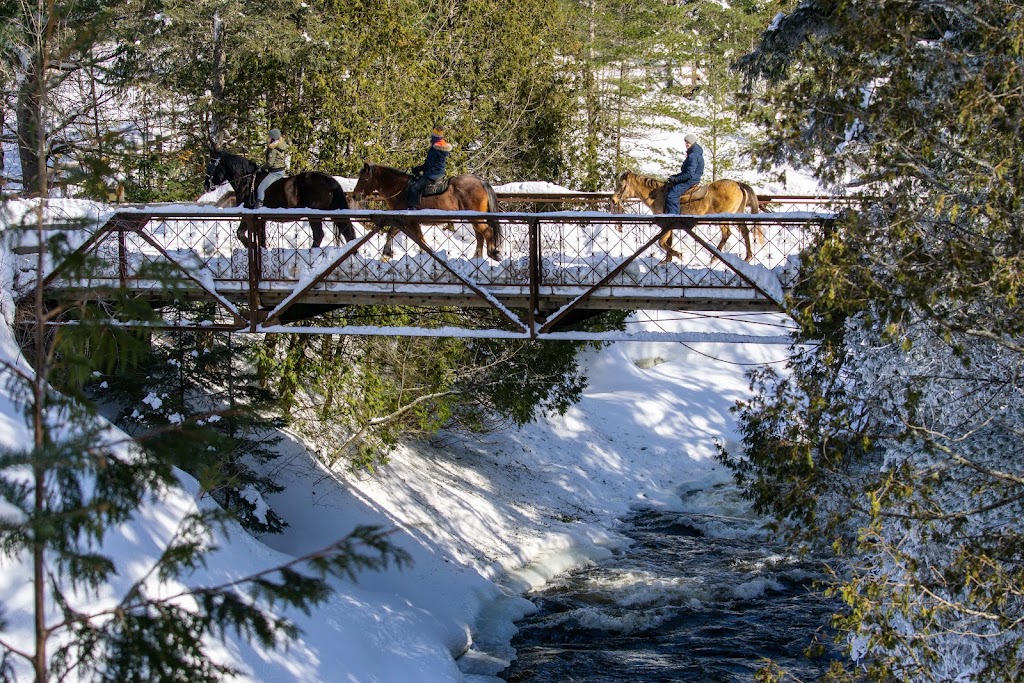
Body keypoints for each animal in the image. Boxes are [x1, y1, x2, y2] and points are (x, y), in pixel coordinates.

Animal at [202, 149, 356, 248]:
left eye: (211, 165)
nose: (206, 185)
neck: (248, 182)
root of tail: (328, 179)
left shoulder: (248, 216)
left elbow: (240, 233)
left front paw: (248, 245)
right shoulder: (260, 220)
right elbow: (261, 238)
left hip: (314, 215)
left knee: (319, 235)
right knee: (347, 233)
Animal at [352, 161, 503, 264]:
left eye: (363, 179)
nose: (354, 195)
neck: (401, 189)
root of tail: (481, 181)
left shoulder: (411, 222)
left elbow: (420, 239)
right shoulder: (401, 220)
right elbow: (391, 233)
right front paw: (386, 255)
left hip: (476, 218)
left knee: (487, 232)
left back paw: (493, 252)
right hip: (475, 218)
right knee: (480, 235)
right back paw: (477, 257)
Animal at [606, 171, 761, 264]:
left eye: (621, 184)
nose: (613, 200)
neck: (657, 195)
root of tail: (738, 185)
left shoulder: (666, 223)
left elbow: (662, 242)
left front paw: (677, 255)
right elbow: (668, 241)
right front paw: (667, 260)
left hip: (723, 218)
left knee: (727, 233)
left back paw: (714, 258)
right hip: (736, 215)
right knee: (745, 231)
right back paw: (747, 257)